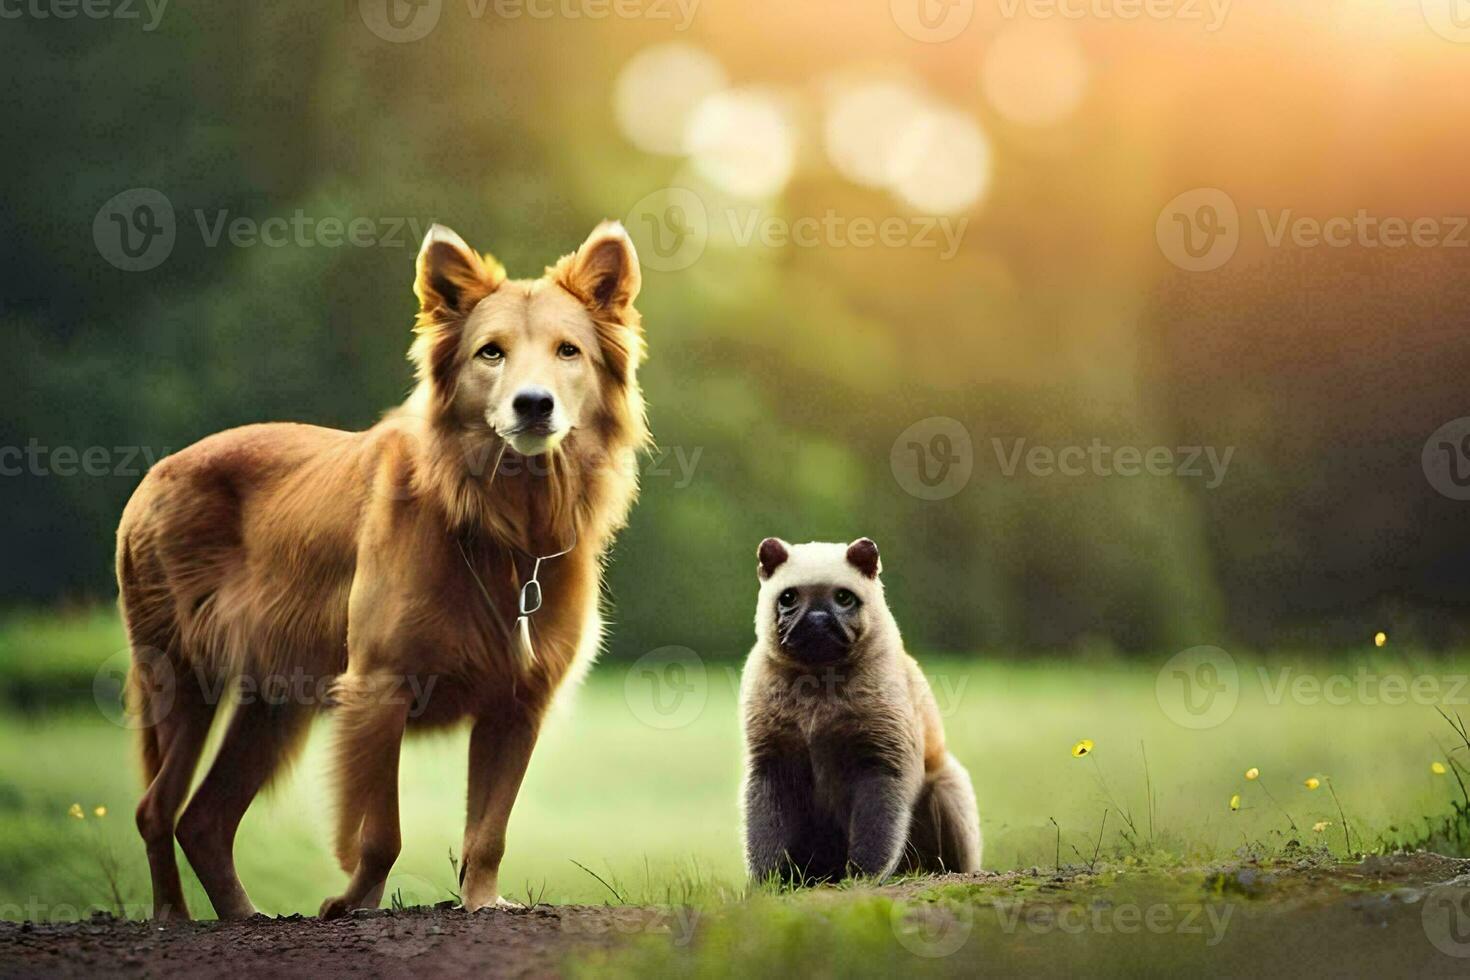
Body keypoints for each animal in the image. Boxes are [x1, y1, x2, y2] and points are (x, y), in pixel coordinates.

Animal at [114, 220, 643, 922]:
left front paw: (482, 902)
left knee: (204, 819)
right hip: (183, 678)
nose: (535, 406)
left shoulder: (516, 705)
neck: (500, 528)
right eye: (491, 353)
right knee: (156, 809)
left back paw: (244, 917)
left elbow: (488, 833)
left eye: (568, 351)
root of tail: (157, 471)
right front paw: (350, 905)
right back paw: (173, 917)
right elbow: (381, 833)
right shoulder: (379, 688)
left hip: (271, 704)